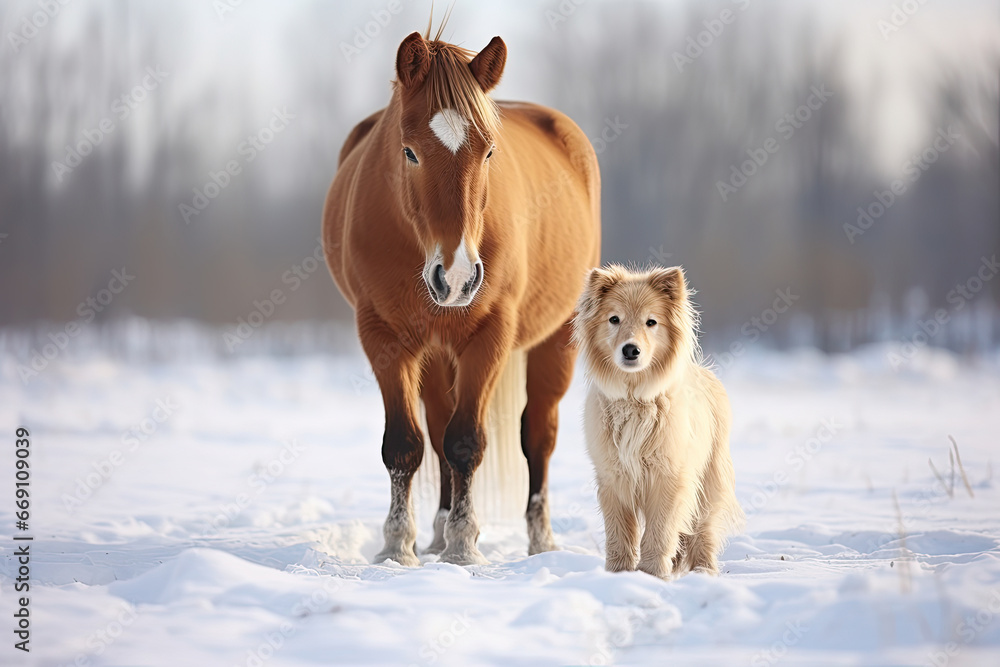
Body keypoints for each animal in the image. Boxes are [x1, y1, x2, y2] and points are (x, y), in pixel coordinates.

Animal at [322, 27, 601, 566]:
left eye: (489, 152)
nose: (456, 277)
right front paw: (399, 547)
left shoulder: (490, 335)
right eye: (409, 151)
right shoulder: (382, 336)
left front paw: (463, 548)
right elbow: (405, 445)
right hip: (435, 355)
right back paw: (434, 532)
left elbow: (467, 442)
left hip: (555, 341)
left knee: (538, 436)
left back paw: (540, 541)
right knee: (435, 429)